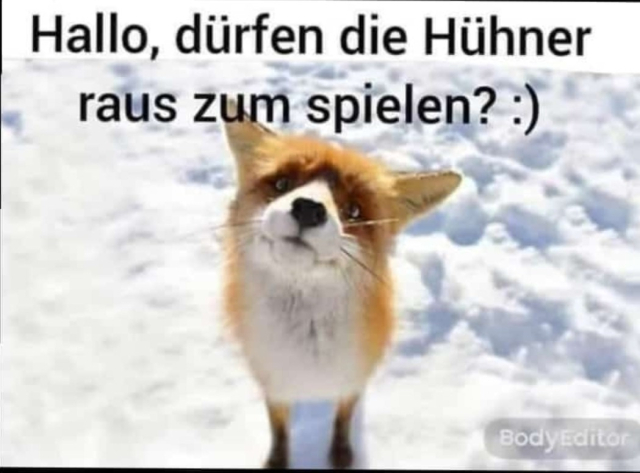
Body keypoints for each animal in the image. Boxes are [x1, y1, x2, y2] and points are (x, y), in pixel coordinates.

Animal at [222, 99, 461, 469]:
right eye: (282, 183)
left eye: (355, 210)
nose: (308, 209)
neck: (308, 353)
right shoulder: (273, 383)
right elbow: (280, 432)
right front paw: (278, 461)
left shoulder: (352, 380)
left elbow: (342, 421)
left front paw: (341, 455)